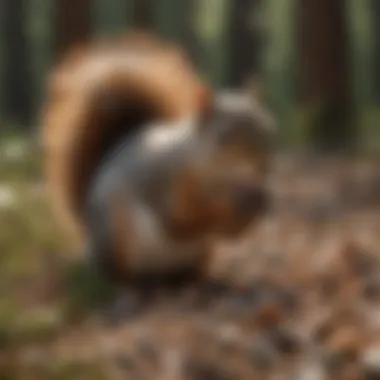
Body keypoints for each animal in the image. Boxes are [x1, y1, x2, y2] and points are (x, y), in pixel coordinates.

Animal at [41, 31, 276, 284]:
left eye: (266, 126)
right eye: (227, 135)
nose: (264, 166)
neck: (219, 179)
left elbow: (233, 230)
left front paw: (260, 200)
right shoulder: (165, 183)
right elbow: (183, 220)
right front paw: (238, 203)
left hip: (202, 251)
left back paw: (199, 276)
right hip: (115, 233)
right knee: (118, 271)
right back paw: (132, 282)